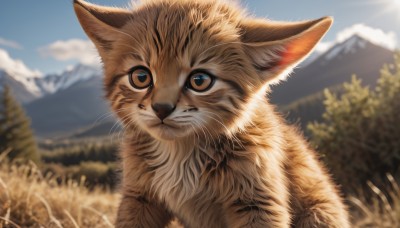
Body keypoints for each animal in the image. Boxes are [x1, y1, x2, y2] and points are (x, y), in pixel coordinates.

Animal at [75, 0, 350, 227]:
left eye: (199, 80)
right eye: (140, 77)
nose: (162, 108)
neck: (181, 155)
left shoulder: (258, 201)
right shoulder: (139, 197)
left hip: (319, 213)